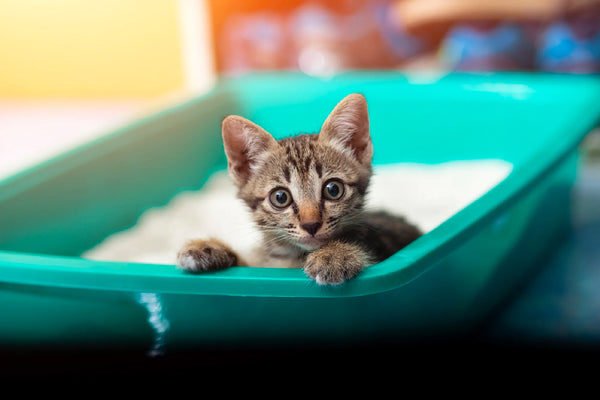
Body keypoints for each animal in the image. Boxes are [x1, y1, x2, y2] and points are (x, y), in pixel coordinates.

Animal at [176, 94, 422, 286]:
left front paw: (335, 254)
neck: (294, 258)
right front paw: (208, 248)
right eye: (280, 197)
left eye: (333, 189)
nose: (310, 225)